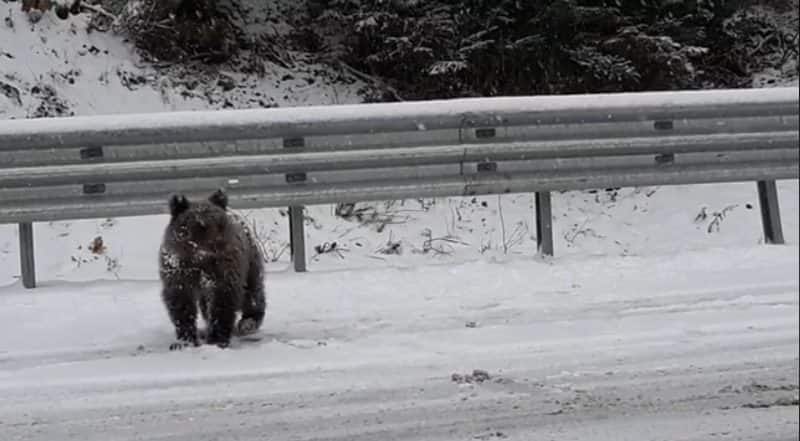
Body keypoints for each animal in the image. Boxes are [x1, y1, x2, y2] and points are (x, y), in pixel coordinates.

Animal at [158, 189, 268, 350]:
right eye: (197, 224)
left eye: (219, 223)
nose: (217, 246)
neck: (201, 260)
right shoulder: (179, 272)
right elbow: (181, 305)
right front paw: (185, 340)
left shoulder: (224, 273)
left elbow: (222, 303)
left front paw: (217, 339)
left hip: (250, 262)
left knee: (252, 292)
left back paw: (249, 322)